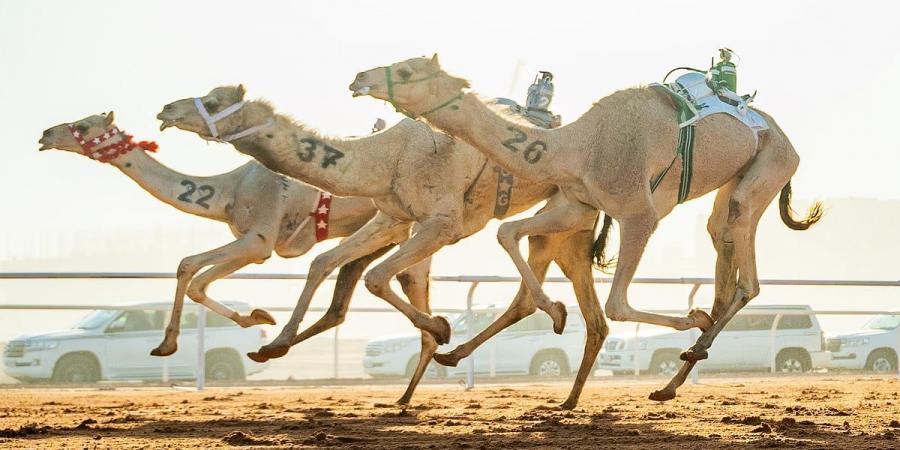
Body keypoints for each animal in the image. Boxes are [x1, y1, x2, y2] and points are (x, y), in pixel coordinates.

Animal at [158, 86, 616, 406]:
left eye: (214, 100)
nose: (166, 110)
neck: (387, 155)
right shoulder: (392, 217)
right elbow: (323, 262)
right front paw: (273, 344)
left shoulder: (443, 223)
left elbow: (376, 277)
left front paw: (441, 326)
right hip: (570, 225)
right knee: (588, 314)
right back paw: (565, 396)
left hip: (569, 210)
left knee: (528, 259)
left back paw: (546, 325)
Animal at [350, 54, 824, 402]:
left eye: (406, 71)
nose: (359, 77)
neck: (578, 147)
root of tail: (782, 135)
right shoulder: (579, 205)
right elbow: (508, 233)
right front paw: (556, 311)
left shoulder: (638, 214)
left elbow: (616, 304)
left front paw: (689, 317)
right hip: (736, 180)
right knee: (719, 239)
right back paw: (671, 382)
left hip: (771, 164)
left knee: (747, 273)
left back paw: (695, 338)